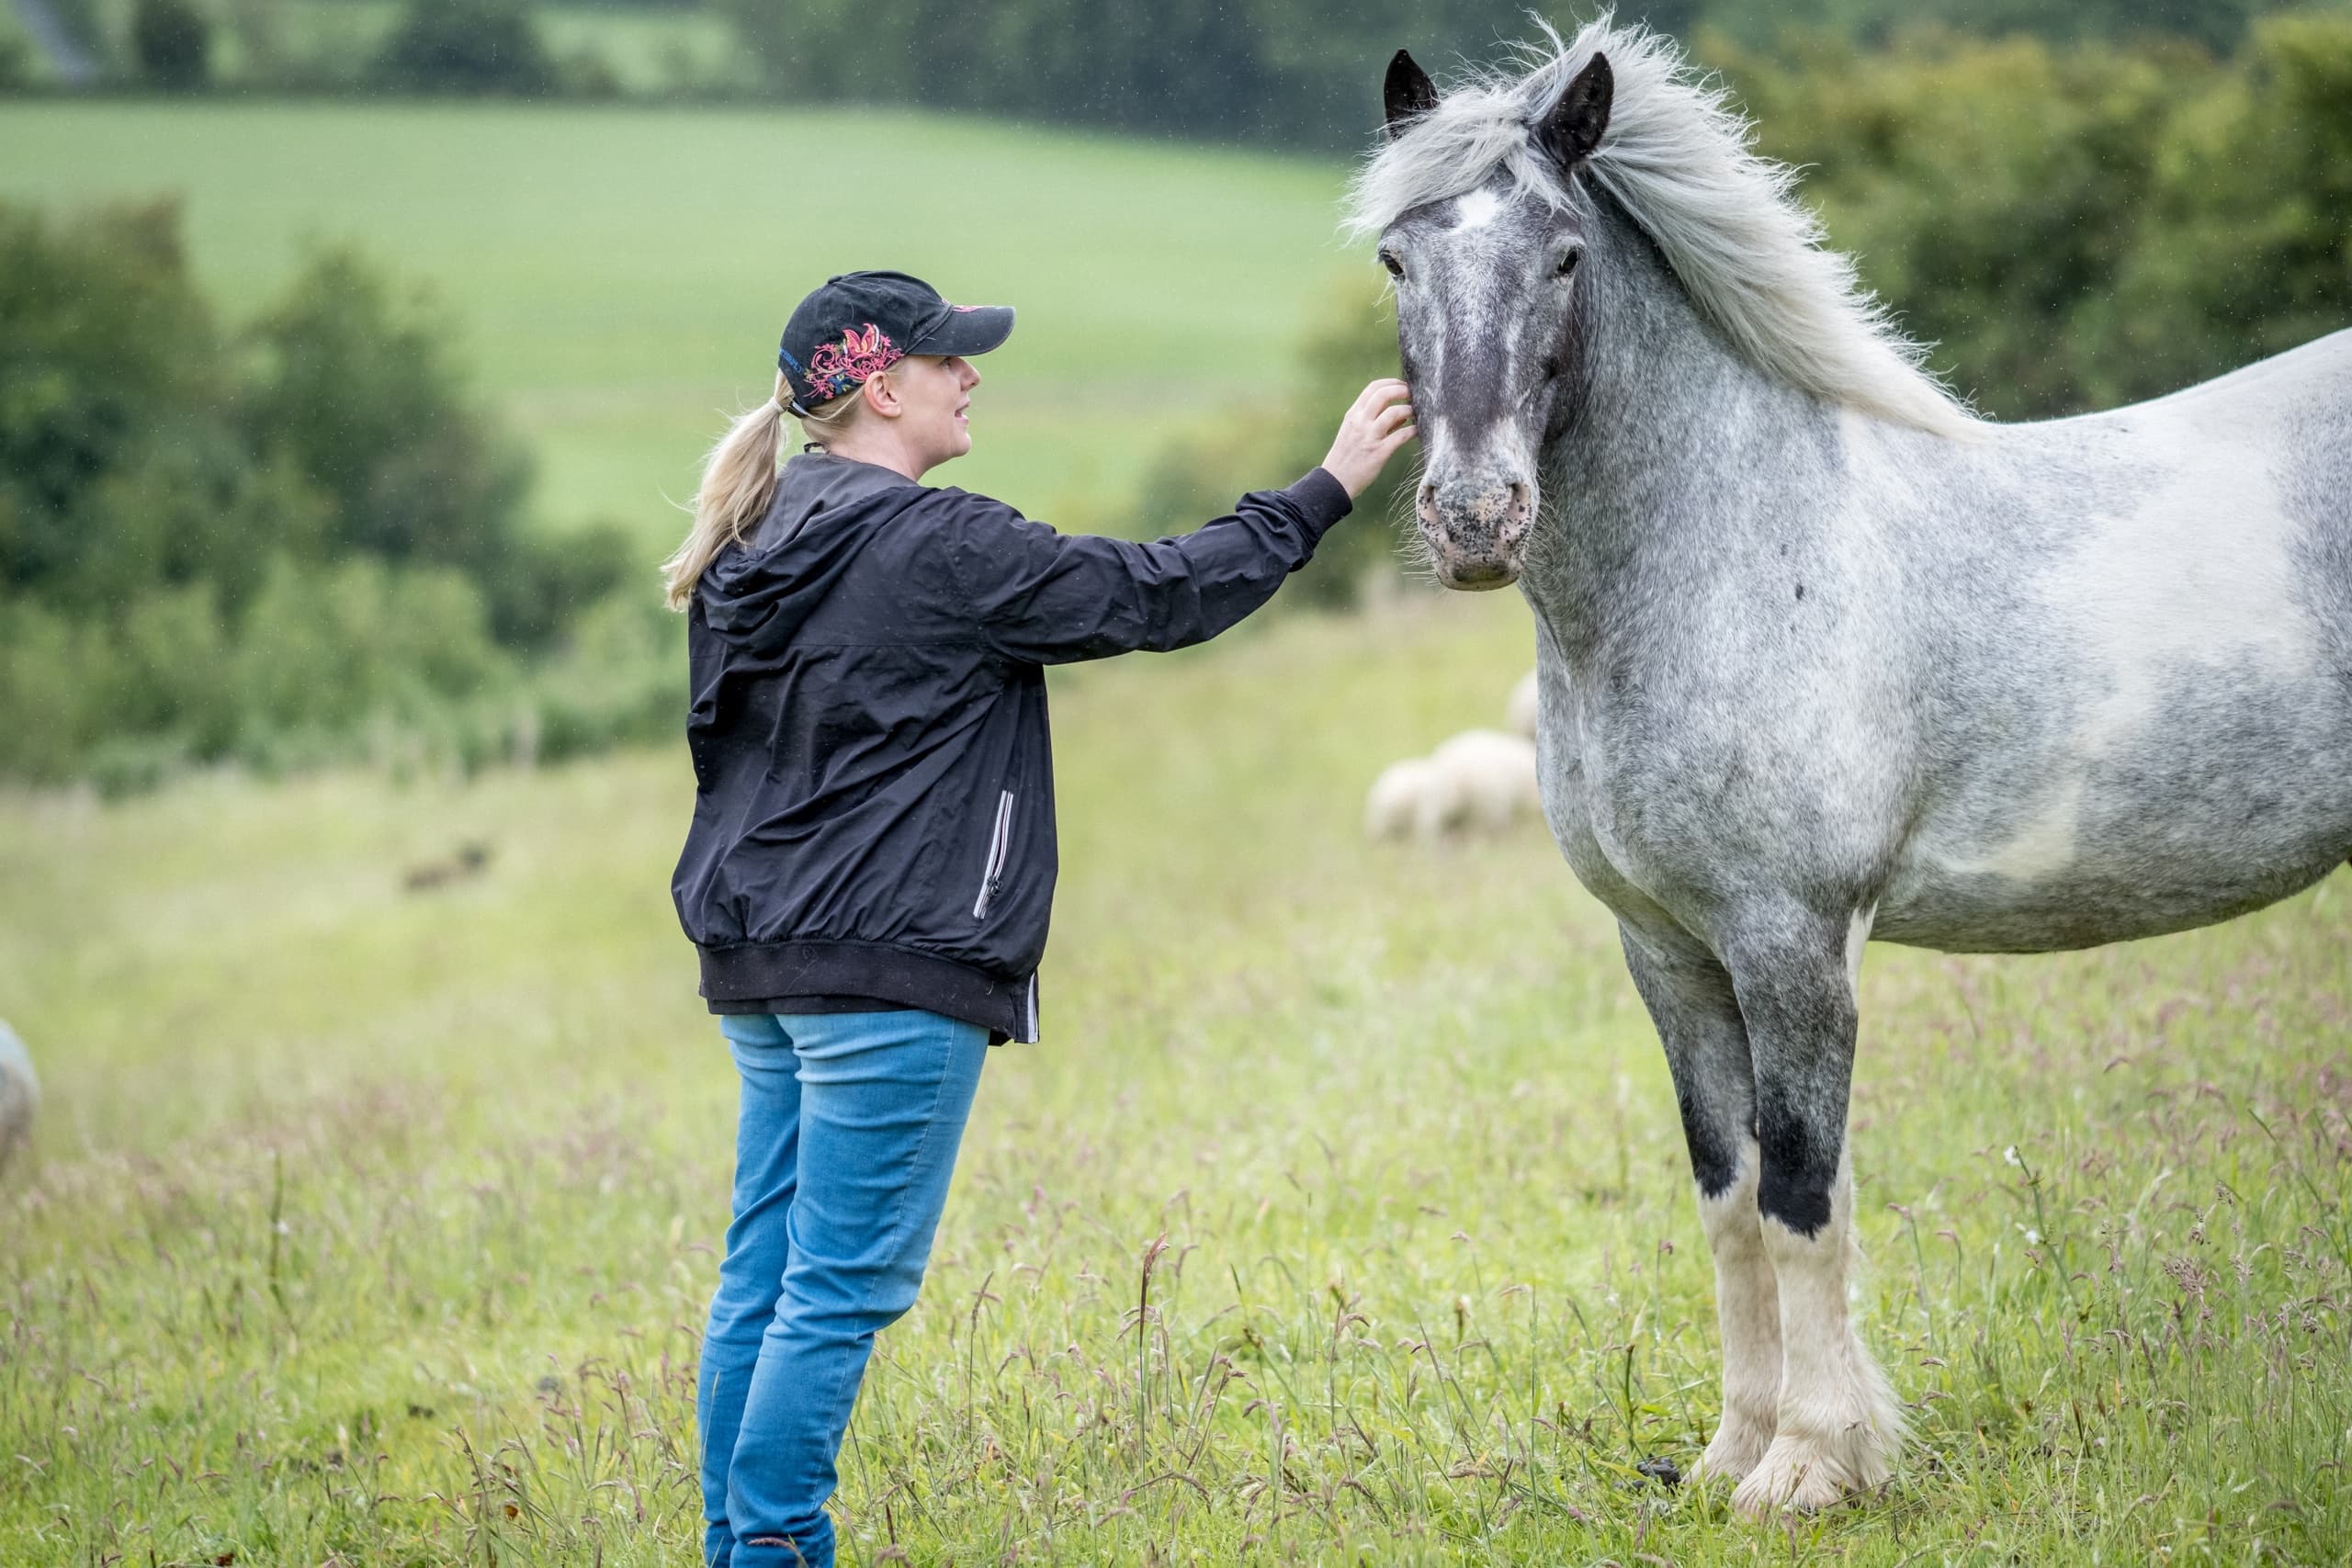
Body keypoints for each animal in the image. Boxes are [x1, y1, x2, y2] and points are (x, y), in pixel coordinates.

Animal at [1352, 18, 2352, 1515]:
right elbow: (1725, 1198)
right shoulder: (1670, 953)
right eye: (1398, 259)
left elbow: (1801, 1197)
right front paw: (1732, 1453)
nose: (1475, 517)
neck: (1734, 553)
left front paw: (1815, 1466)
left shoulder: (1792, 943)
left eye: (1566, 254)